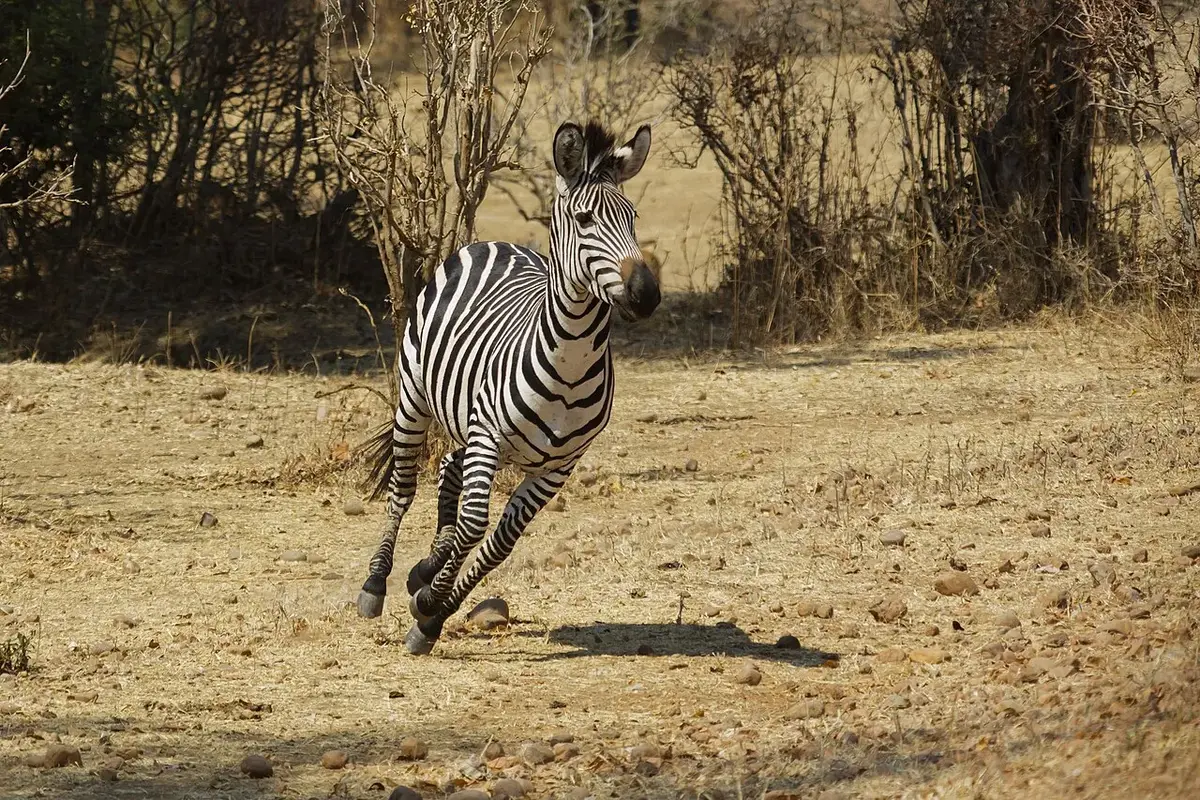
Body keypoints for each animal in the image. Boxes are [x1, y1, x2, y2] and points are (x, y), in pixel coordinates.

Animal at [357, 120, 660, 655]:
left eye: (633, 218)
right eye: (584, 219)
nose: (647, 295)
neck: (571, 363)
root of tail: (494, 243)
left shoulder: (559, 467)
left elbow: (498, 544)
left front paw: (432, 611)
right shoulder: (490, 434)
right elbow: (474, 525)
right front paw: (428, 601)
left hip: (475, 426)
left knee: (447, 468)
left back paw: (425, 569)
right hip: (417, 399)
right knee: (405, 487)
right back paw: (377, 582)